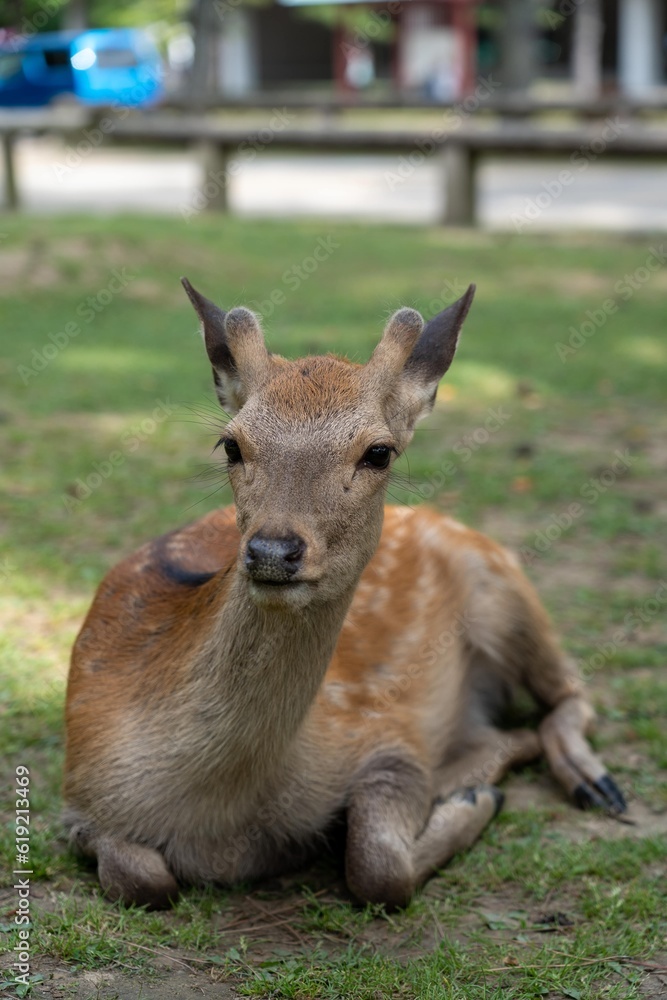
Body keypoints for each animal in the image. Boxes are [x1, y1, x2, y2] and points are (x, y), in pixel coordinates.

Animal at [62, 278, 628, 912]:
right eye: (231, 444)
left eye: (378, 452)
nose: (273, 550)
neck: (220, 815)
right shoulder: (79, 794)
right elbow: (142, 878)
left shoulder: (385, 733)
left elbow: (379, 866)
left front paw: (469, 802)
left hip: (504, 586)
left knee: (571, 692)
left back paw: (586, 784)